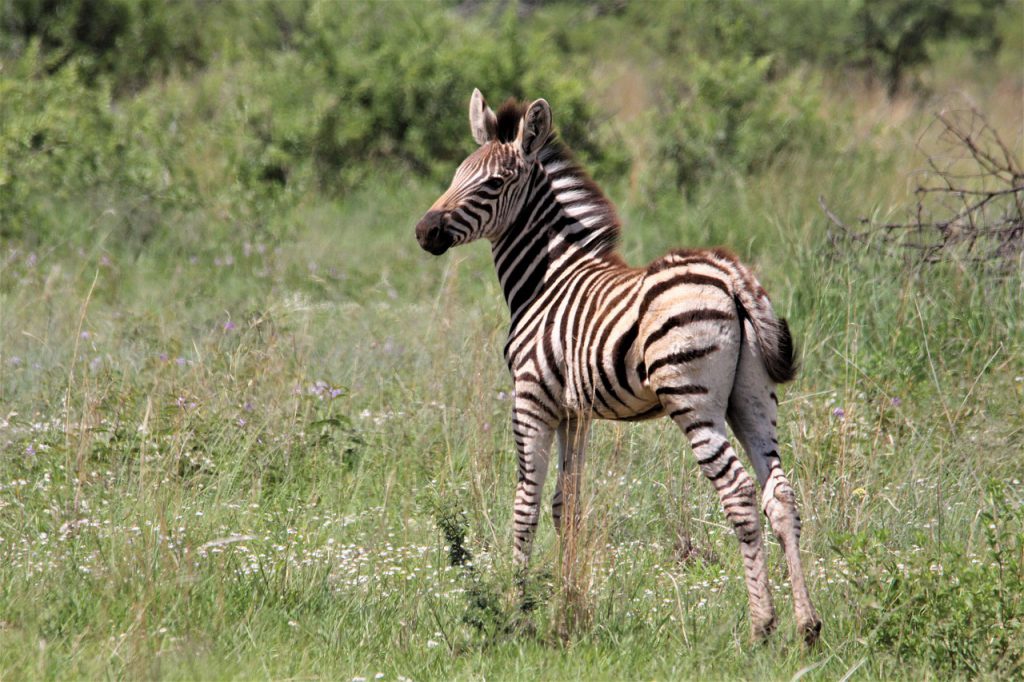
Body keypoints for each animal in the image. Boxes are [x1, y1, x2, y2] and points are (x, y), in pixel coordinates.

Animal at [414, 89, 821, 644]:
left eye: (492, 184)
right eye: (457, 174)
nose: (424, 231)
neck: (547, 278)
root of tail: (731, 276)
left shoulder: (531, 399)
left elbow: (526, 506)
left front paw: (517, 612)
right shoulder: (574, 411)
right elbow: (567, 505)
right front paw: (566, 608)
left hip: (692, 399)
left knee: (738, 493)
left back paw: (762, 625)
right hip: (752, 397)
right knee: (779, 494)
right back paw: (807, 625)